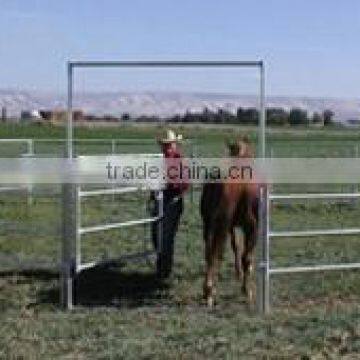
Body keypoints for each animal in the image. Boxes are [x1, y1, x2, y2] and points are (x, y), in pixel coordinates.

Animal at [200, 136, 258, 306]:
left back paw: (208, 290)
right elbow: (247, 256)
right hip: (221, 225)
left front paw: (239, 273)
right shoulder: (252, 226)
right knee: (215, 253)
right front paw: (246, 290)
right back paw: (209, 292)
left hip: (209, 224)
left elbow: (236, 247)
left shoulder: (231, 226)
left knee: (209, 253)